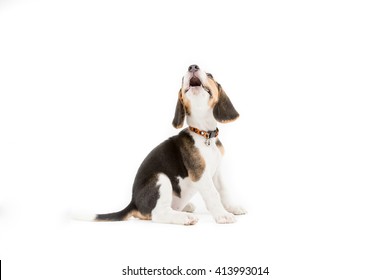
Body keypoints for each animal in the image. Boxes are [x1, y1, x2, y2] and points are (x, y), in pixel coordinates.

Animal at [93, 64, 245, 224]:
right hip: (161, 178)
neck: (204, 133)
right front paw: (222, 215)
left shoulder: (216, 171)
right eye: (183, 79)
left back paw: (186, 207)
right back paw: (185, 217)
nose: (192, 67)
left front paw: (232, 208)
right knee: (159, 214)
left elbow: (223, 190)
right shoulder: (200, 173)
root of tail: (133, 203)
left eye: (210, 75)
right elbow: (213, 194)